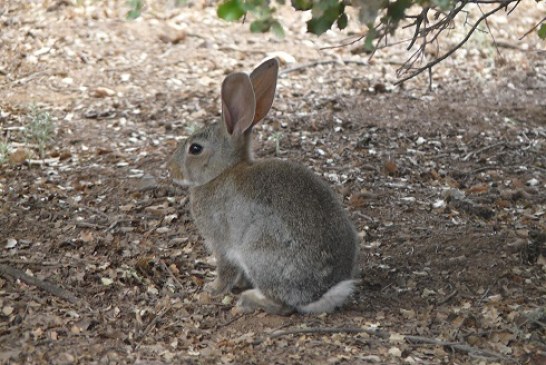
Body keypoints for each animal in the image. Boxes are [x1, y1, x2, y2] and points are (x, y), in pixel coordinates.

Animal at [168, 59, 360, 312]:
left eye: (195, 149)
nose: (171, 169)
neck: (221, 173)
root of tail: (320, 293)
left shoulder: (222, 244)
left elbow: (225, 270)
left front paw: (212, 289)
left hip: (258, 253)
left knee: (282, 305)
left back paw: (249, 299)